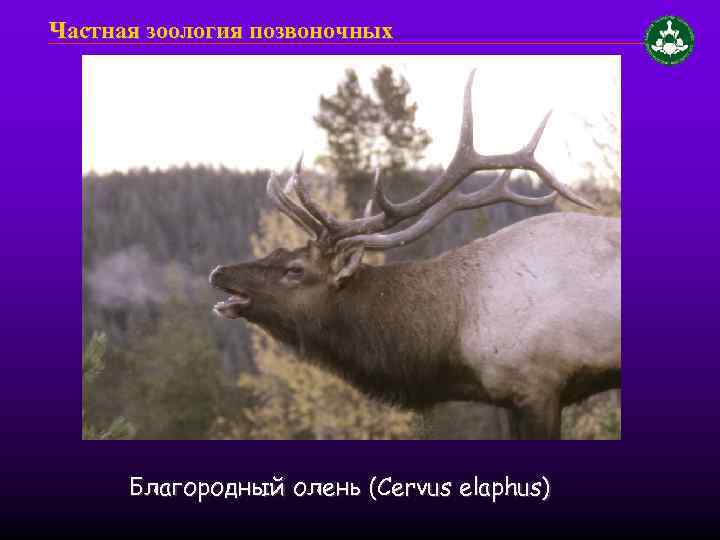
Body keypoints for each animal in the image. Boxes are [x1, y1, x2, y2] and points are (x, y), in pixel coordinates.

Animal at [210, 71, 620, 439]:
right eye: (276, 250)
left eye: (295, 269)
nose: (219, 272)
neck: (453, 332)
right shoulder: (509, 397)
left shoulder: (540, 385)